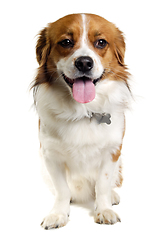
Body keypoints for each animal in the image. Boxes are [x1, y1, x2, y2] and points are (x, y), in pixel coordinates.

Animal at [31, 13, 131, 231]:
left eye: (101, 42)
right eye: (66, 42)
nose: (84, 63)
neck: (82, 110)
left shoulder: (112, 152)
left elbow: (102, 184)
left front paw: (104, 209)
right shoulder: (51, 156)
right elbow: (62, 189)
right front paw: (58, 214)